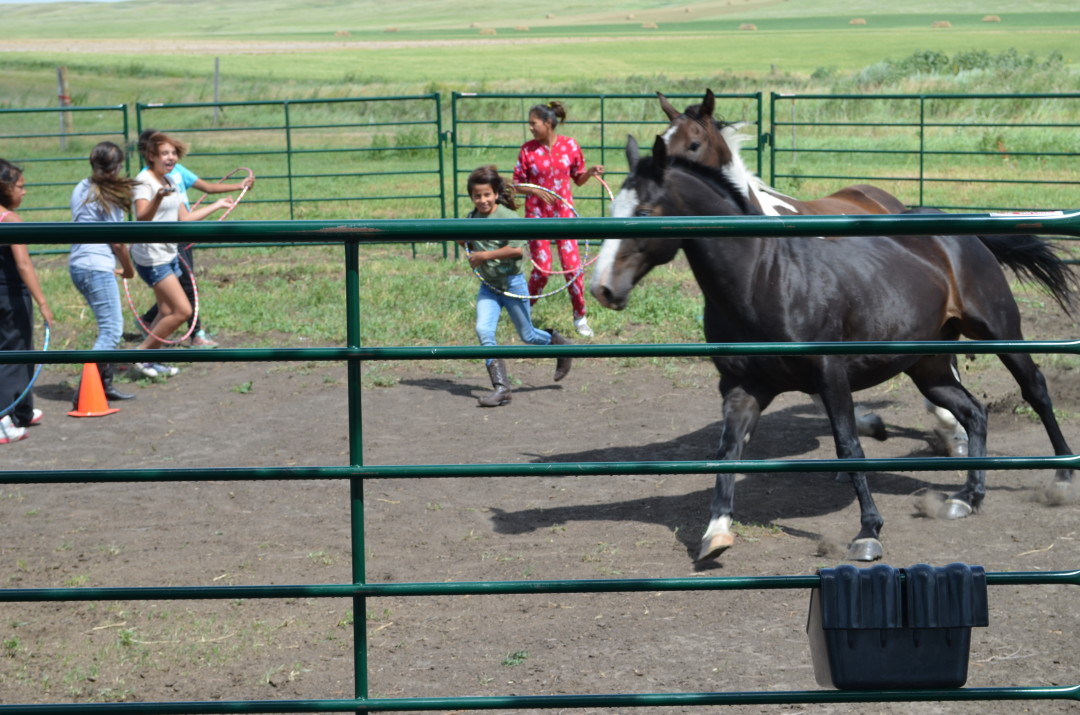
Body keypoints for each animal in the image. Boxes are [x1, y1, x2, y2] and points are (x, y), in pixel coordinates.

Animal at [590, 134, 1076, 563]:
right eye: (614, 208)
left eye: (645, 211)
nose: (602, 288)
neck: (763, 279)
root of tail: (957, 230)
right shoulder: (742, 387)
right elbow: (727, 450)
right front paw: (716, 533)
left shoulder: (830, 373)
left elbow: (849, 445)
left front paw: (868, 533)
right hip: (929, 365)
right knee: (973, 411)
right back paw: (968, 497)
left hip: (998, 331)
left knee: (1035, 388)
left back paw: (1062, 475)